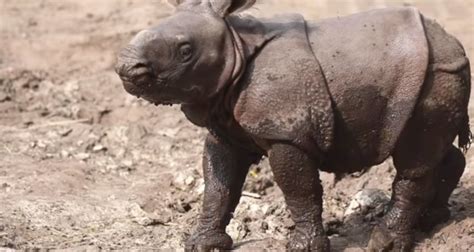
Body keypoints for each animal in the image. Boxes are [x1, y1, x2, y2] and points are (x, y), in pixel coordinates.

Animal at [115, 0, 470, 251]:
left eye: (185, 51)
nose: (126, 67)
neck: (237, 46)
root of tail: (454, 43)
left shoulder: (285, 132)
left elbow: (298, 186)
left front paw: (303, 247)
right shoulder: (225, 129)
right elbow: (218, 184)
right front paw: (203, 245)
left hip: (432, 74)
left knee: (414, 159)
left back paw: (385, 242)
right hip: (438, 73)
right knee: (433, 148)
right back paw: (432, 221)